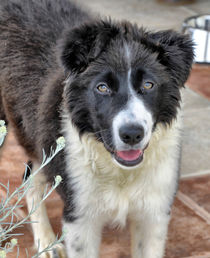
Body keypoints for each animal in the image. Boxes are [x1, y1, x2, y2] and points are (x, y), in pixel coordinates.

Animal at [0, 0, 194, 256]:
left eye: (148, 85)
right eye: (102, 87)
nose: (132, 134)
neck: (119, 171)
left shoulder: (154, 214)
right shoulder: (80, 218)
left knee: (30, 177)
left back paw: (45, 240)